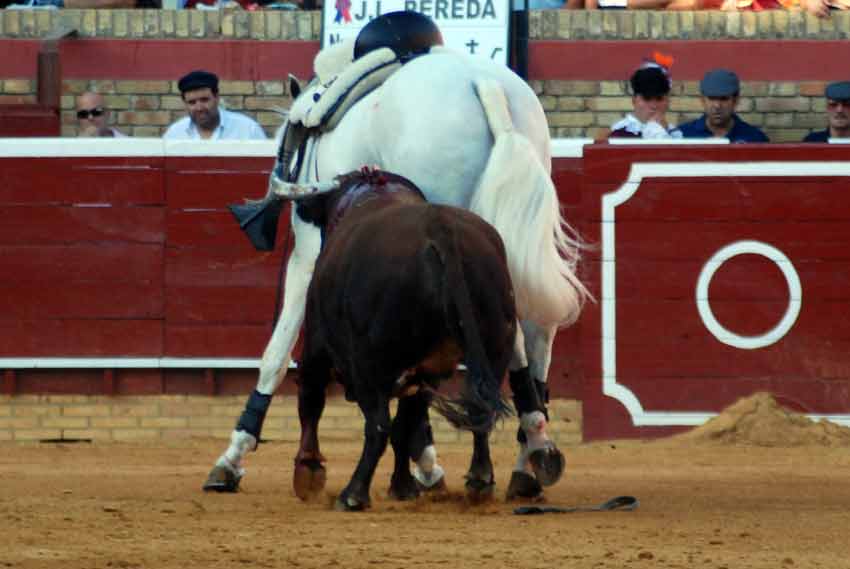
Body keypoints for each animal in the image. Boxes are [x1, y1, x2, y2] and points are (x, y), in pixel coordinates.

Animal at [292, 169, 516, 510]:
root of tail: (440, 228)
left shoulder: (317, 345)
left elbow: (311, 399)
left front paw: (308, 472)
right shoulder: (423, 373)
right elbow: (407, 426)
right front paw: (404, 486)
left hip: (368, 363)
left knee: (377, 425)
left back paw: (353, 493)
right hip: (493, 347)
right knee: (478, 412)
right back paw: (479, 481)